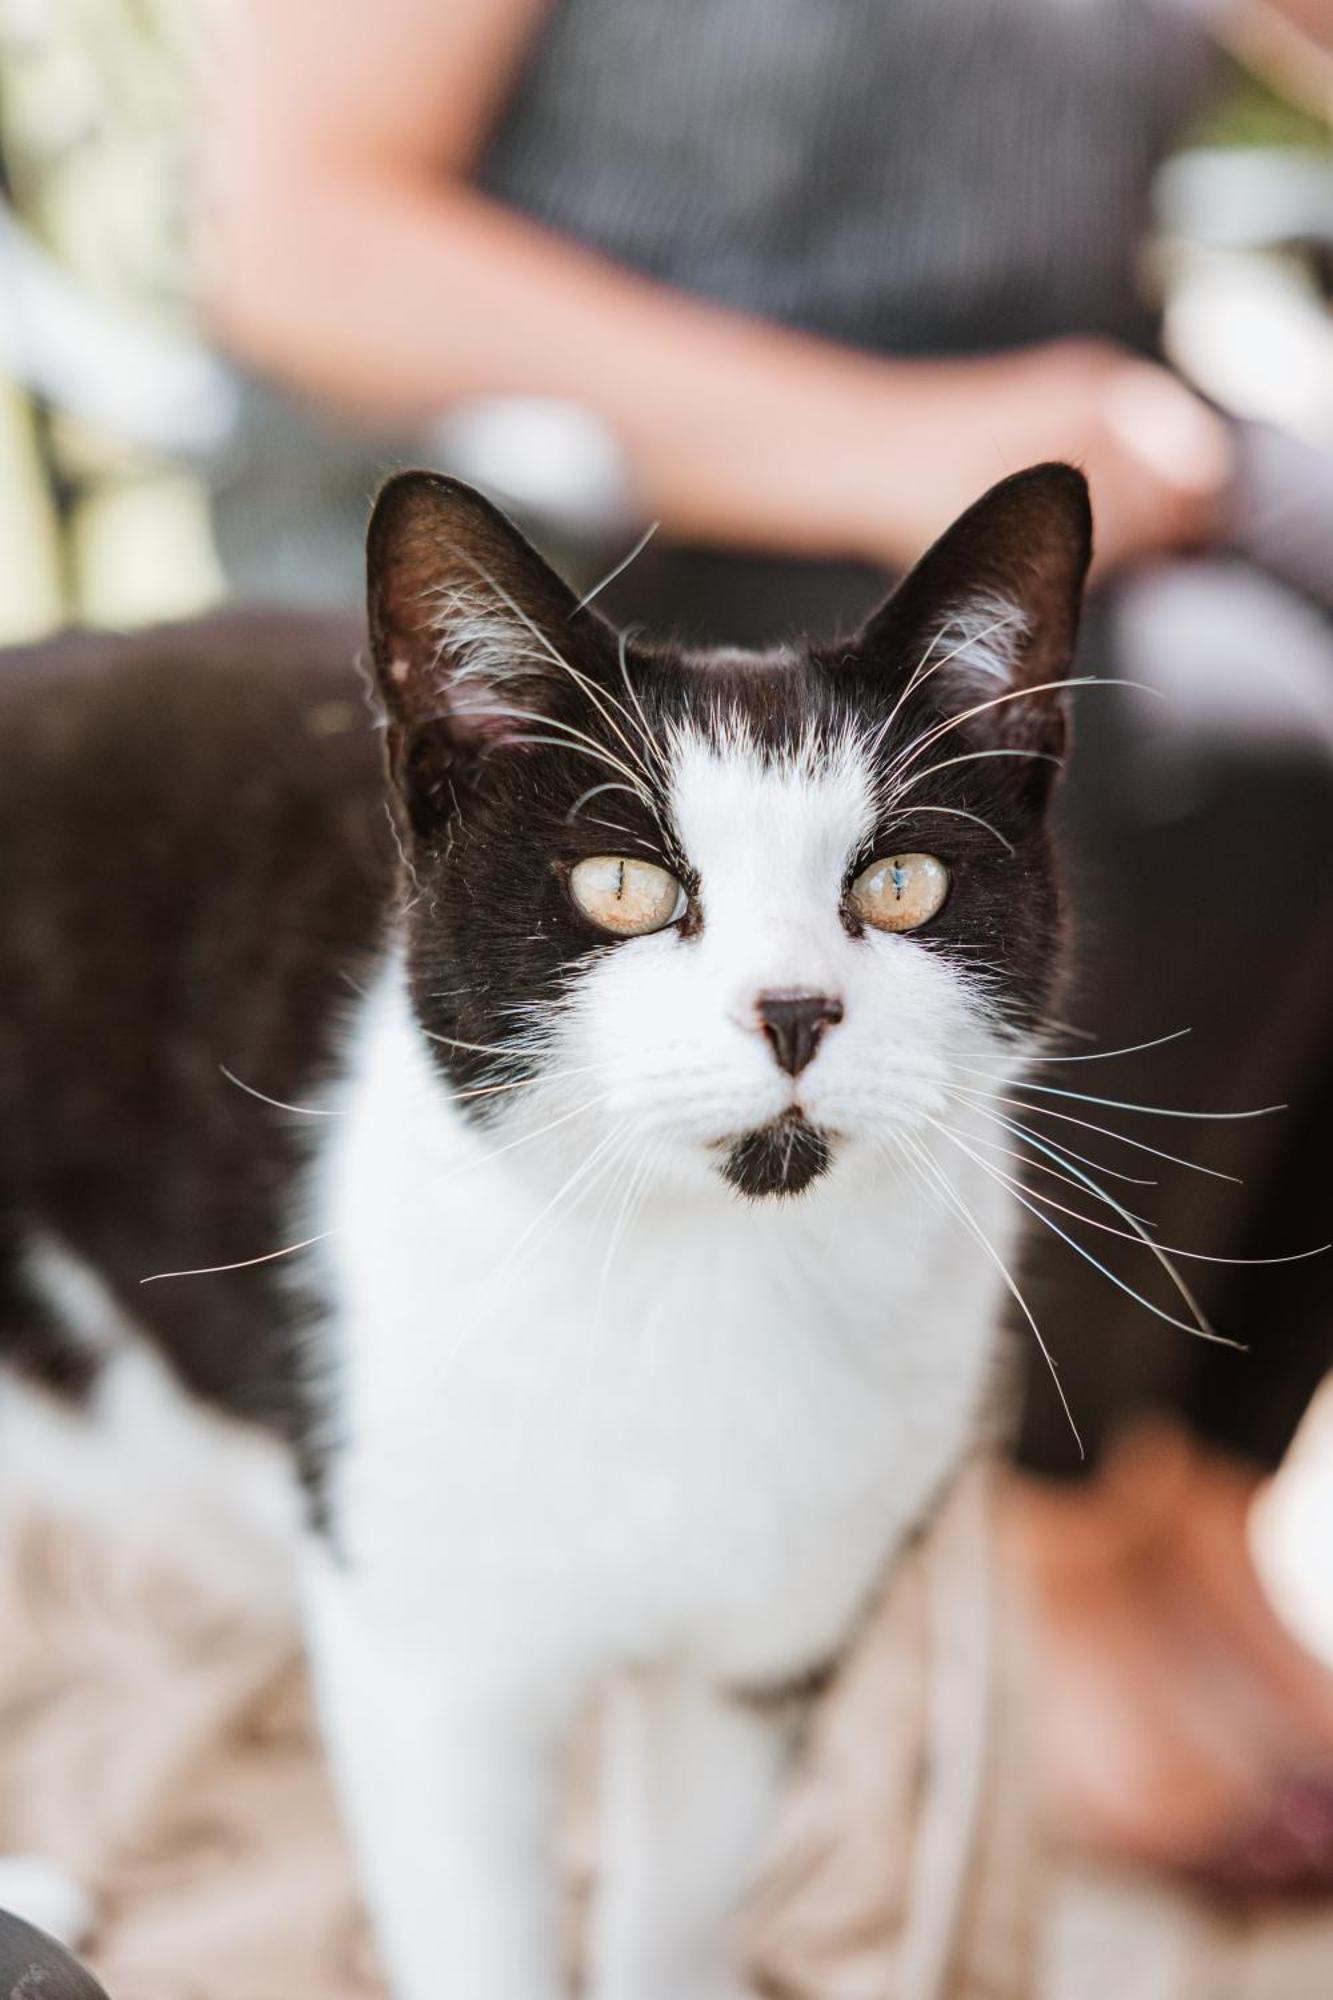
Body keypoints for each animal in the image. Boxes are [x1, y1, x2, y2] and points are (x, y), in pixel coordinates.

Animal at [0, 460, 1088, 1992]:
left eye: (900, 884)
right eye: (623, 887)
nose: (795, 1011)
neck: (698, 1296)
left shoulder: (767, 1649)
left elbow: (676, 1900)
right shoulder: (431, 1673)